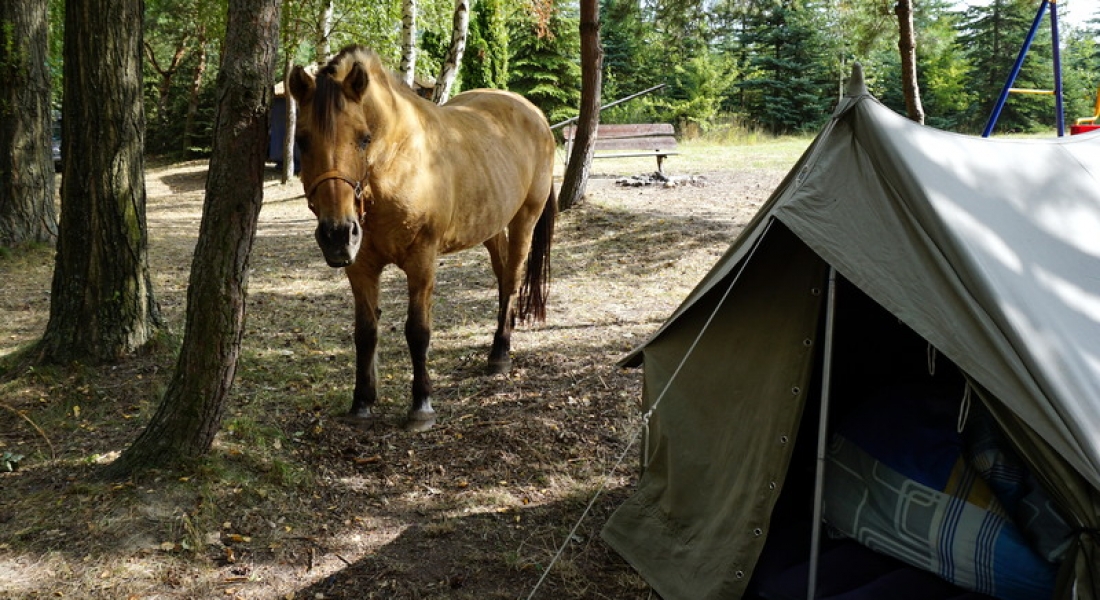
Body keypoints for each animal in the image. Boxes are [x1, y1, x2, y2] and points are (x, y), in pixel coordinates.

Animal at [288, 46, 554, 431]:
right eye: (302, 141)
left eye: (363, 138)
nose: (337, 234)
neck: (395, 164)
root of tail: (533, 112)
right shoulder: (360, 267)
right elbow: (365, 332)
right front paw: (362, 401)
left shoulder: (422, 261)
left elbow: (418, 331)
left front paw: (421, 405)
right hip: (491, 227)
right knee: (504, 276)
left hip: (525, 220)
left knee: (513, 278)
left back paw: (500, 352)